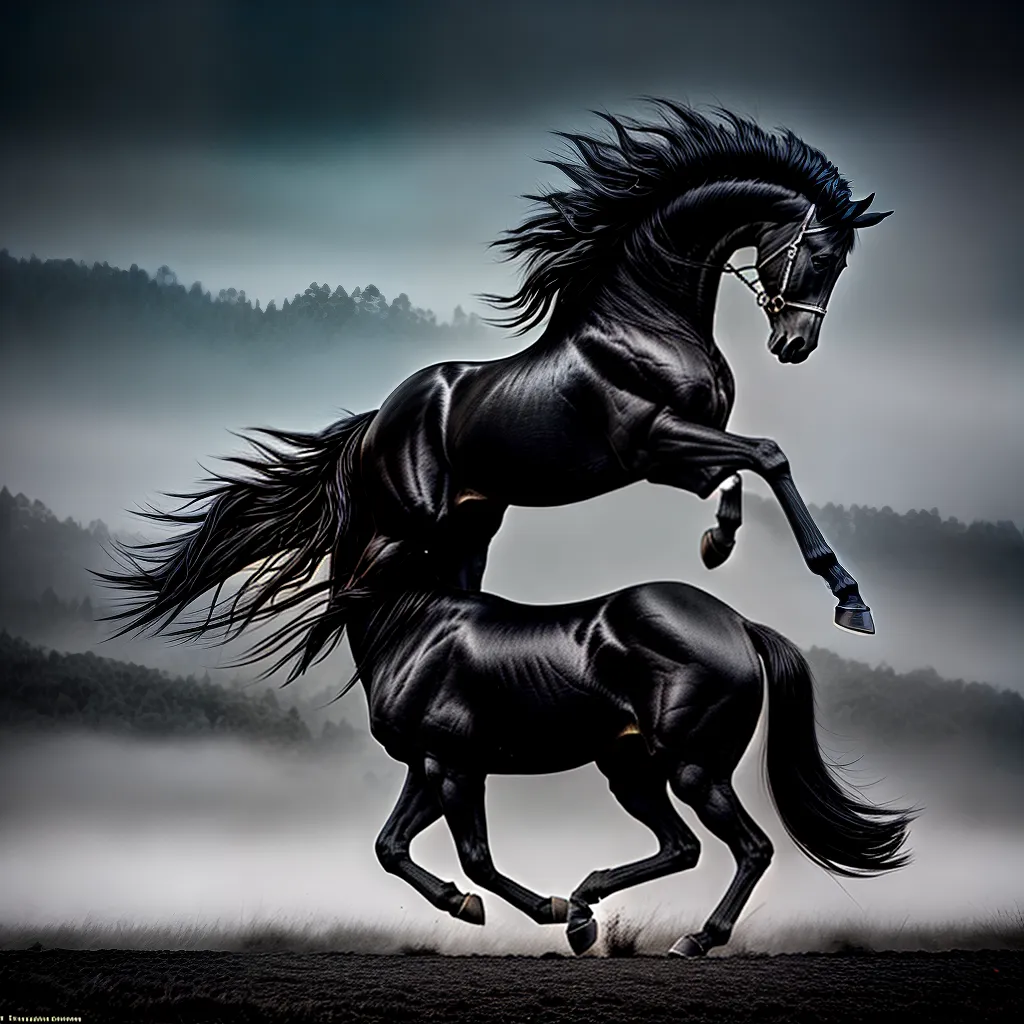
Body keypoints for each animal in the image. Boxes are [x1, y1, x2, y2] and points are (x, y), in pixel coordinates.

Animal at [99, 101, 894, 683]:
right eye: (818, 255)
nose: (795, 345)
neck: (644, 319)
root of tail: (373, 425)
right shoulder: (649, 442)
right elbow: (768, 454)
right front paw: (848, 597)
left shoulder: (678, 453)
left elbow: (735, 471)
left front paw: (716, 542)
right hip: (401, 530)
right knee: (354, 594)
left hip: (467, 530)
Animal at [318, 568, 914, 957]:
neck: (409, 626)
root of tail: (741, 626)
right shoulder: (428, 766)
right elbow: (390, 847)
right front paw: (548, 912)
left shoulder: (455, 767)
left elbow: (475, 859)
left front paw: (548, 910)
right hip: (632, 775)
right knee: (683, 846)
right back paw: (590, 901)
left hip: (694, 773)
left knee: (751, 847)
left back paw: (695, 938)